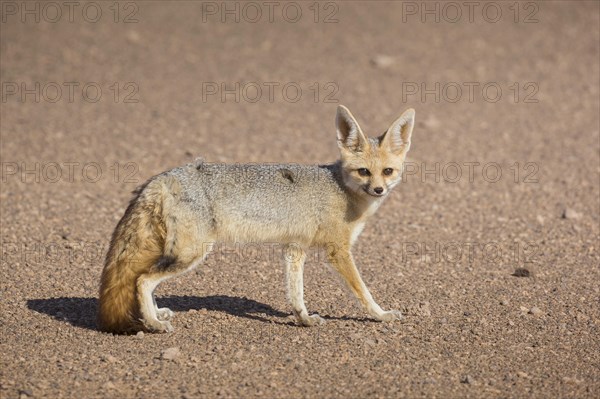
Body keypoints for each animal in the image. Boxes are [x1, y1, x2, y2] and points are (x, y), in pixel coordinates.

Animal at [99, 104, 418, 332]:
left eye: (387, 171)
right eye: (364, 171)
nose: (378, 189)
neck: (341, 188)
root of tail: (164, 177)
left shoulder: (294, 248)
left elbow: (296, 293)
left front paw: (303, 319)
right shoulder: (338, 251)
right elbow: (363, 291)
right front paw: (380, 315)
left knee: (145, 278)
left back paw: (154, 314)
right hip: (192, 253)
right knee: (142, 280)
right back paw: (153, 323)